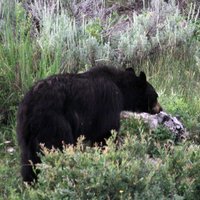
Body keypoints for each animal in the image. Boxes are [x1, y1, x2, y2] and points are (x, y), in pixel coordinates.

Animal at [16, 65, 162, 183]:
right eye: (156, 96)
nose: (160, 109)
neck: (120, 88)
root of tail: (31, 105)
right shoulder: (109, 103)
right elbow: (106, 134)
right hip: (54, 122)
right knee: (59, 147)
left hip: (26, 132)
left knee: (28, 160)